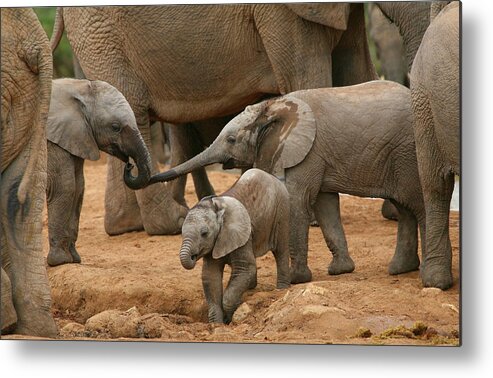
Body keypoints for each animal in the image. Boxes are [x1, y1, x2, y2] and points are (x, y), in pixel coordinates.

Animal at [46, 77, 154, 266]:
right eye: (115, 127)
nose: (129, 165)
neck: (77, 87)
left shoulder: (77, 137)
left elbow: (79, 188)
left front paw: (75, 260)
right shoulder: (51, 141)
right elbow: (65, 187)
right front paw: (60, 261)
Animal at [51, 2, 376, 235]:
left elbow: (356, 69)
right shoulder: (282, 12)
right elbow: (308, 78)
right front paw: (313, 219)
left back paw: (129, 225)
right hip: (103, 34)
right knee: (135, 107)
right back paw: (172, 222)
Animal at [179, 169, 290, 324]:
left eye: (204, 233)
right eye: (181, 233)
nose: (193, 256)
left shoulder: (241, 234)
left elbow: (245, 269)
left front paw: (228, 318)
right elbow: (210, 276)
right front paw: (217, 324)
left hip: (282, 211)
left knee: (281, 251)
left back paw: (282, 289)